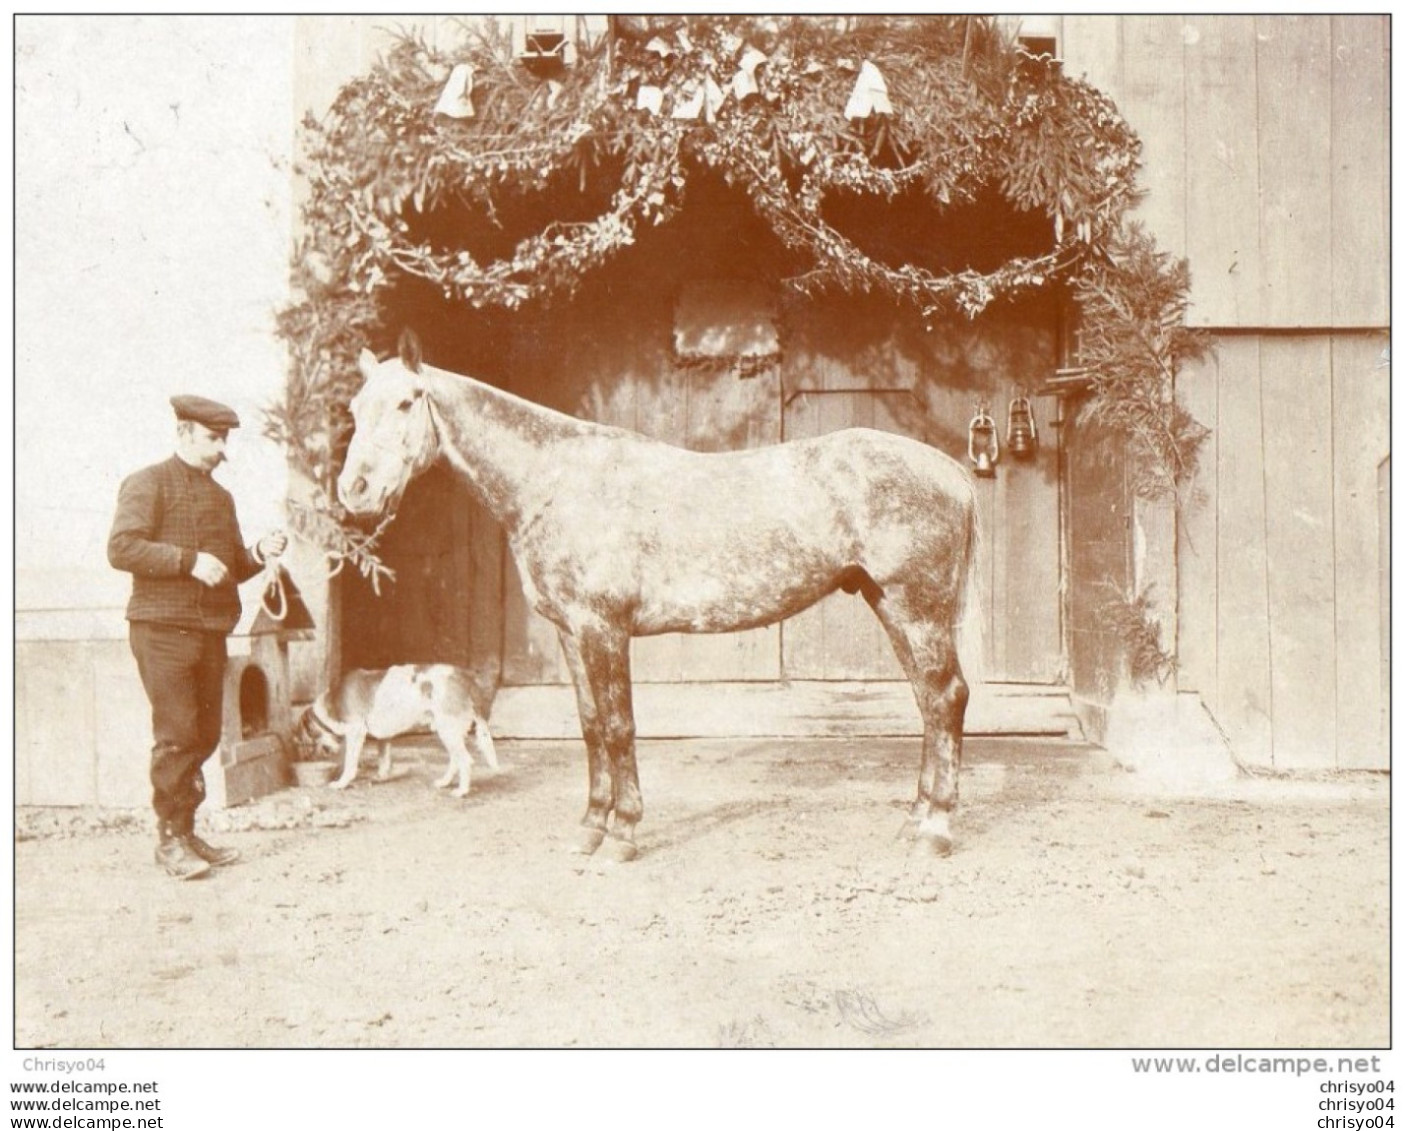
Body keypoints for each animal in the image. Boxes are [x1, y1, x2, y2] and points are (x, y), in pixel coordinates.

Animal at [293, 663, 497, 792]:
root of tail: (464, 676)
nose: (307, 756)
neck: (334, 701)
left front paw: (341, 783)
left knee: (465, 761)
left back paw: (462, 791)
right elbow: (384, 759)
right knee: (456, 760)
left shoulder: (356, 733)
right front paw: (381, 776)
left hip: (448, 731)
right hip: (449, 733)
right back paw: (445, 783)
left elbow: (350, 764)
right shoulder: (384, 738)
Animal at [338, 331, 983, 859]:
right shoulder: (570, 632)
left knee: (946, 697)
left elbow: (620, 726)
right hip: (889, 603)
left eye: (407, 401)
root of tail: (952, 471)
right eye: (353, 409)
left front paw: (623, 832)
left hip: (916, 607)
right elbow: (591, 726)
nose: (354, 490)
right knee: (930, 703)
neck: (557, 482)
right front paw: (590, 827)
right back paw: (915, 819)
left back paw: (935, 830)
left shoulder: (604, 628)